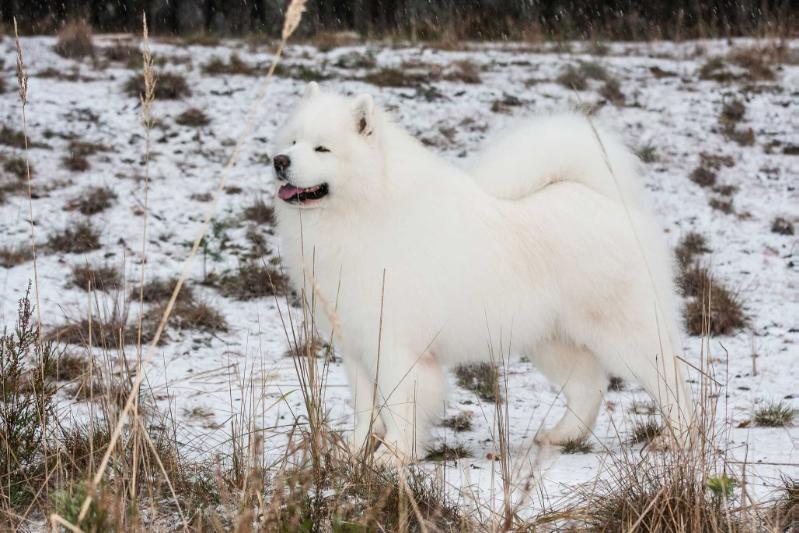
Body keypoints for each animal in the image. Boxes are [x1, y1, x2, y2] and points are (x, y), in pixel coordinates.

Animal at [274, 82, 692, 462]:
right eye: (293, 141)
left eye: (322, 148)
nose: (279, 160)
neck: (362, 210)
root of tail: (609, 200)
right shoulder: (356, 345)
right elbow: (365, 409)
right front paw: (353, 453)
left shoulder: (394, 345)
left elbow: (399, 405)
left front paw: (393, 455)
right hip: (550, 339)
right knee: (589, 388)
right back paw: (561, 436)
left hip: (623, 334)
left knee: (669, 382)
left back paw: (676, 440)